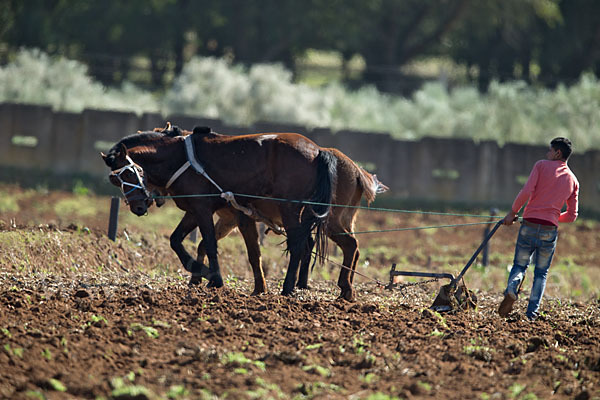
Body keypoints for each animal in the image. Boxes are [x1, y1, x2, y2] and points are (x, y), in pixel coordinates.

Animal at [101, 126, 386, 298]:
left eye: (129, 172)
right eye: (115, 179)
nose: (138, 207)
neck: (181, 158)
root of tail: (319, 152)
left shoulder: (204, 209)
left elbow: (209, 244)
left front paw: (212, 277)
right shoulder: (199, 211)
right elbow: (180, 241)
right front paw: (201, 274)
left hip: (296, 210)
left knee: (303, 246)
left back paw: (289, 287)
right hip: (327, 217)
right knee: (347, 246)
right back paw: (344, 289)